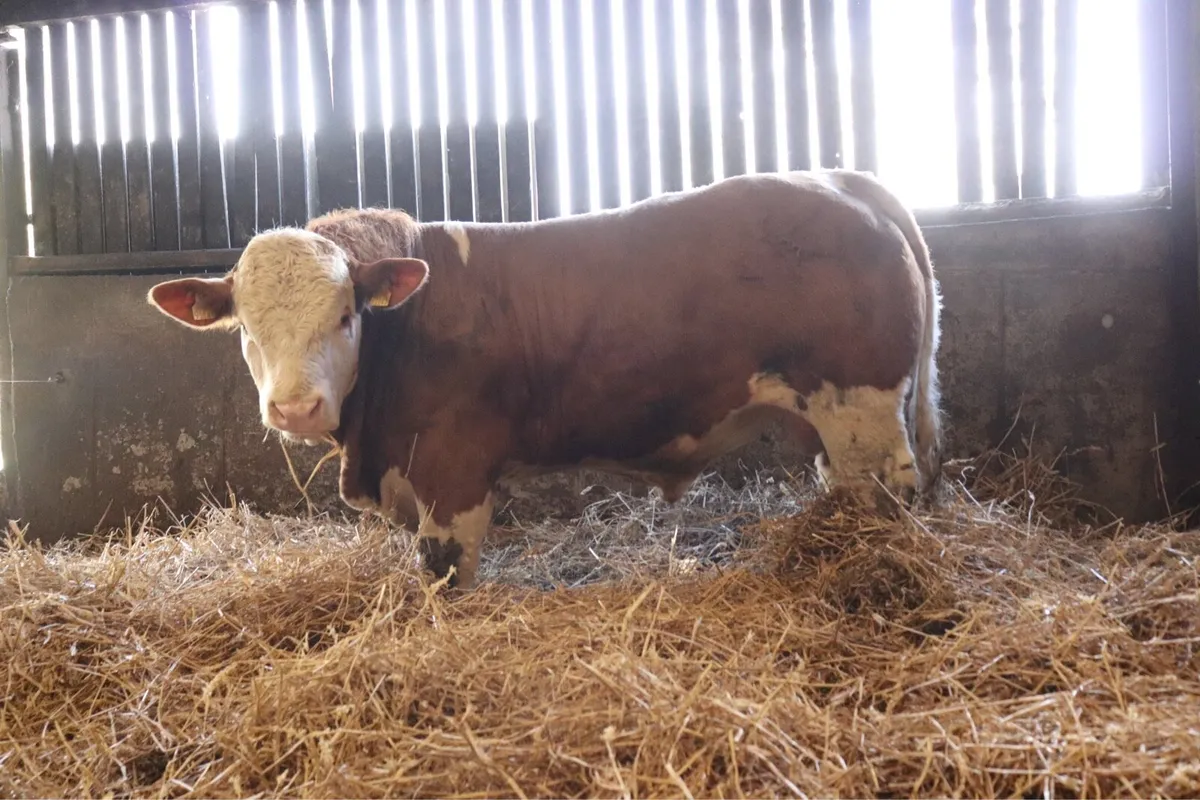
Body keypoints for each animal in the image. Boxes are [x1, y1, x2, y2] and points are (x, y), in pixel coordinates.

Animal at [147, 169, 943, 590]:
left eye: (347, 315)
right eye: (245, 329)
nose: (296, 408)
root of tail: (839, 180)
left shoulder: (454, 473)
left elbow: (445, 573)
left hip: (863, 409)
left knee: (890, 494)